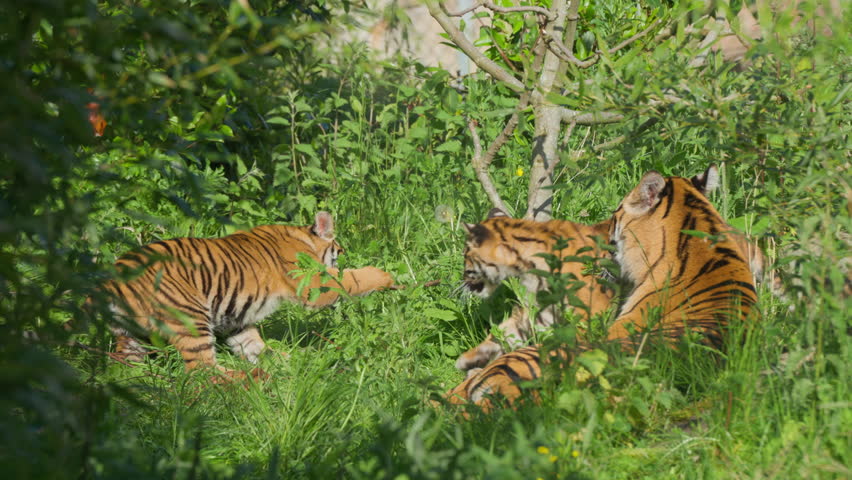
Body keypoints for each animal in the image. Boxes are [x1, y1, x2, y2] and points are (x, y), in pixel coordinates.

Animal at [102, 211, 395, 382]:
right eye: (340, 250)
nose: (345, 253)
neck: (304, 238)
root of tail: (113, 278)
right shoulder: (311, 283)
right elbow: (351, 279)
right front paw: (385, 277)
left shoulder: (234, 319)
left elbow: (255, 346)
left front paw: (301, 360)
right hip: (189, 317)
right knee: (201, 371)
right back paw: (252, 377)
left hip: (132, 337)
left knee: (124, 365)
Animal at [456, 208, 615, 371]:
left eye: (465, 255)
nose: (463, 278)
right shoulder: (543, 308)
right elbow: (509, 329)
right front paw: (473, 357)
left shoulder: (591, 310)